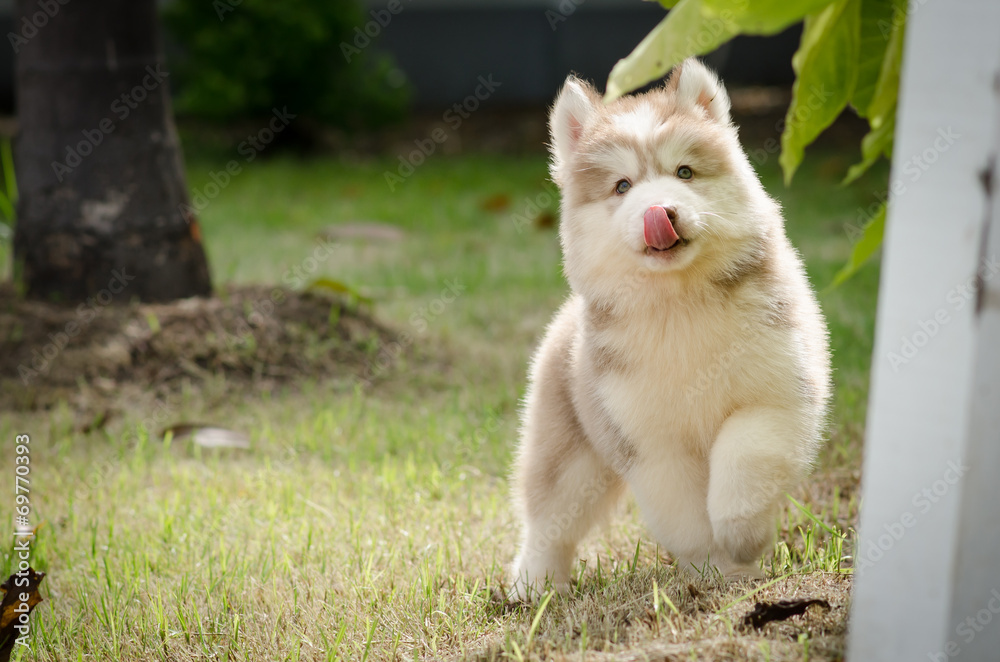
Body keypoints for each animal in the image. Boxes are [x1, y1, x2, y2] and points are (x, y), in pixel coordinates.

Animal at [512, 59, 832, 600]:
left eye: (684, 172)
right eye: (622, 186)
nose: (658, 211)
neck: (678, 303)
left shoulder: (777, 396)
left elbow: (744, 462)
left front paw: (741, 541)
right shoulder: (649, 441)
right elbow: (685, 518)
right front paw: (712, 568)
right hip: (570, 452)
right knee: (550, 518)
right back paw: (533, 584)